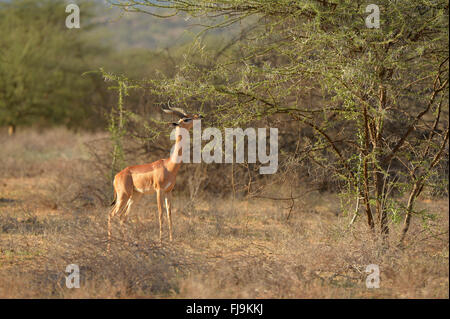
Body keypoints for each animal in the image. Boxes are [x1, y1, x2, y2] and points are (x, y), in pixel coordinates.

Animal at [108, 102, 203, 250]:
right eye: (186, 119)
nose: (199, 116)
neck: (169, 165)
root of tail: (117, 175)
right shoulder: (159, 190)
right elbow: (160, 214)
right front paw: (160, 241)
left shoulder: (169, 191)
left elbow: (169, 214)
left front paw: (171, 240)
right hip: (123, 196)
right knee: (112, 214)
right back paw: (109, 247)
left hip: (135, 196)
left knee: (123, 217)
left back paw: (126, 243)